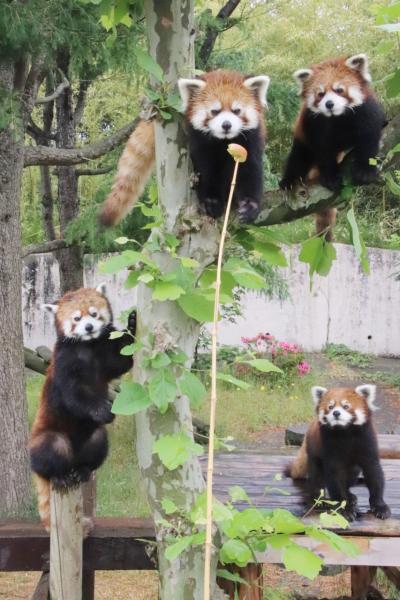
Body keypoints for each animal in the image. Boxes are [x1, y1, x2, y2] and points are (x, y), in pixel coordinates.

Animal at [98, 68, 270, 227]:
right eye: (214, 111)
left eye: (236, 110)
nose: (226, 125)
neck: (223, 142)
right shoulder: (200, 143)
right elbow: (206, 170)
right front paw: (211, 202)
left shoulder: (250, 142)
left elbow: (249, 171)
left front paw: (249, 205)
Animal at [280, 54, 386, 241]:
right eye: (320, 94)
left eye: (339, 90)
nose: (329, 104)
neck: (338, 118)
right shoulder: (316, 125)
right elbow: (324, 152)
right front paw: (329, 176)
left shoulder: (366, 113)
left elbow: (370, 139)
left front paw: (365, 169)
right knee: (299, 157)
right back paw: (289, 181)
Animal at [286, 384, 392, 520]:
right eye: (330, 407)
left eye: (346, 406)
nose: (336, 413)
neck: (345, 432)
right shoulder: (330, 448)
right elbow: (335, 478)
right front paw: (344, 509)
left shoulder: (367, 442)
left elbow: (374, 473)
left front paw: (380, 506)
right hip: (313, 453)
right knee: (317, 476)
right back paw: (319, 499)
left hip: (353, 469)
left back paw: (350, 495)